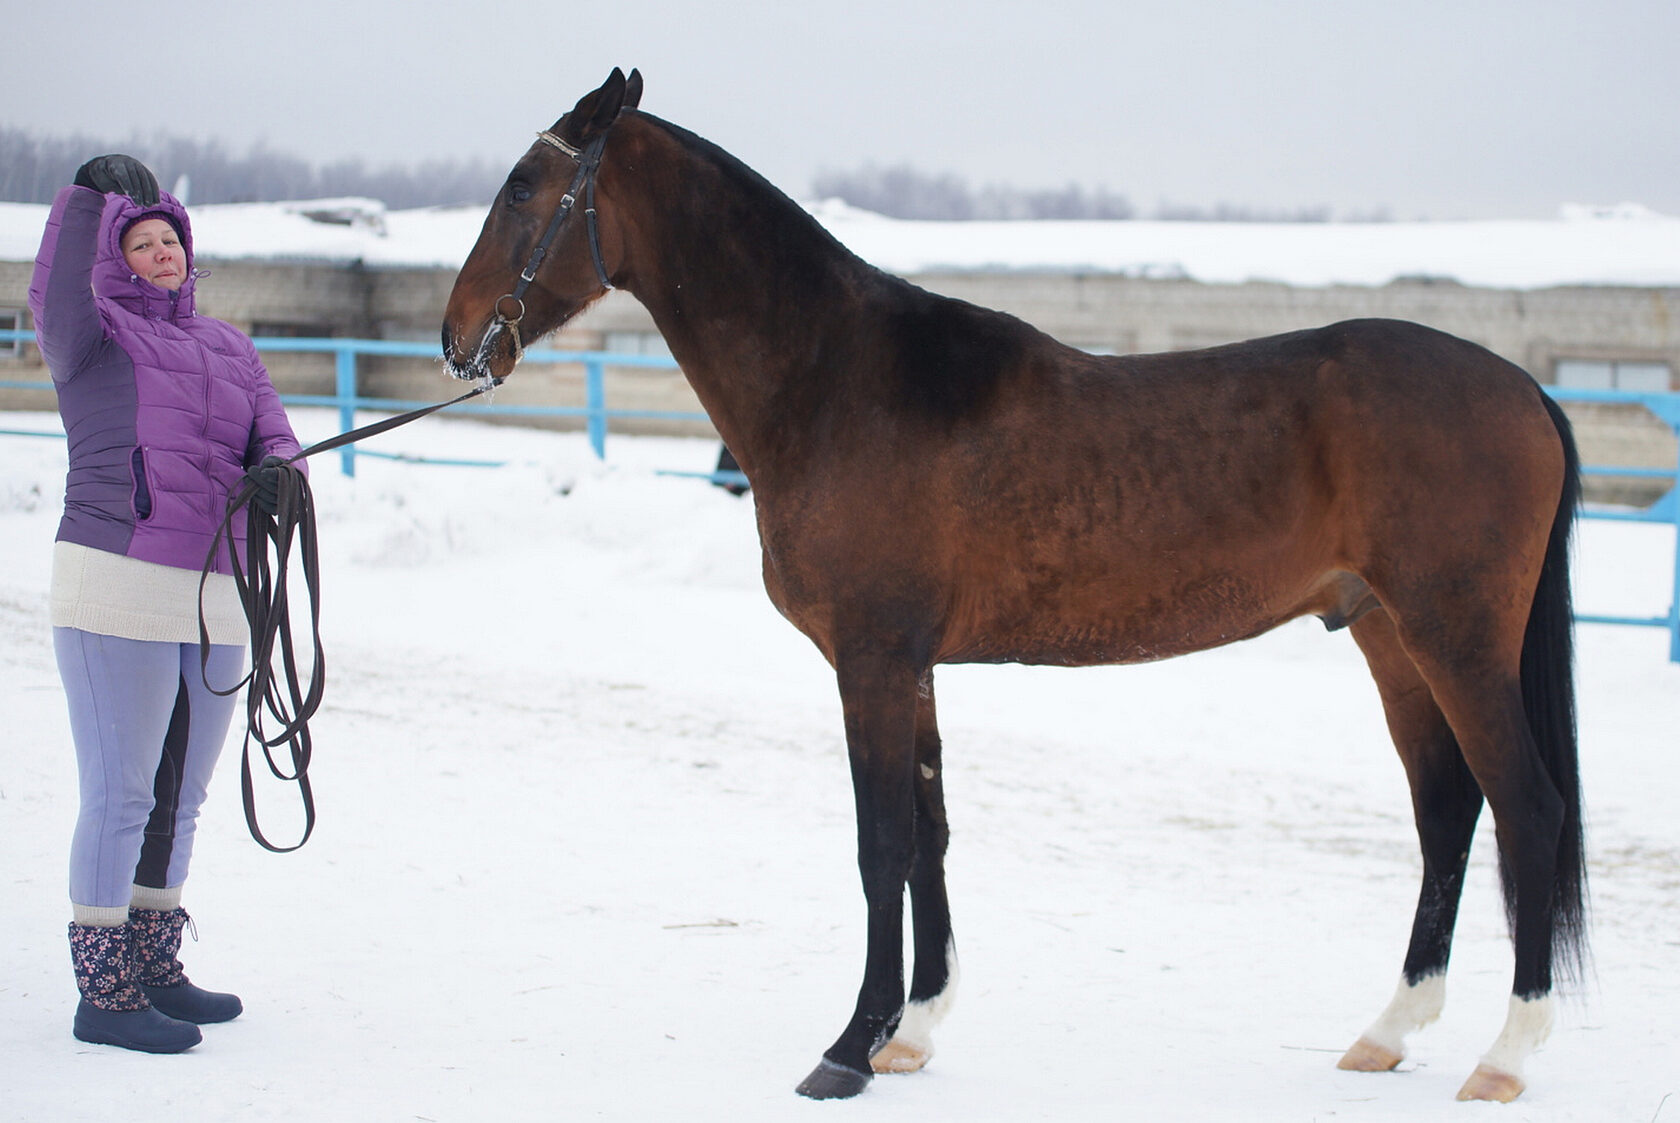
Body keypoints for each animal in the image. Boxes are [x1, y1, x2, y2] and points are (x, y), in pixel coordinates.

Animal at [436, 70, 1585, 1102]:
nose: (455, 337)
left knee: (1528, 809)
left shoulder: (871, 661)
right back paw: (1389, 1031)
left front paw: (848, 1049)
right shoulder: (912, 665)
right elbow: (928, 836)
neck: (842, 381)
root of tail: (1524, 389)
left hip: (1454, 639)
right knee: (1447, 810)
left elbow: (881, 843)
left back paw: (1506, 1055)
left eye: (525, 189)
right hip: (1389, 634)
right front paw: (910, 1031)